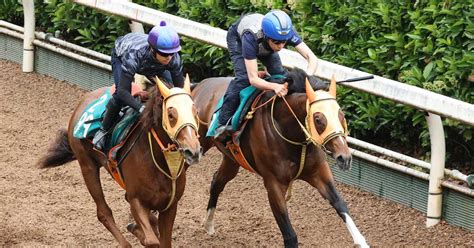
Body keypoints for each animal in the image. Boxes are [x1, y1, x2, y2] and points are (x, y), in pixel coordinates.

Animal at [36, 76, 200, 247]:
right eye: (171, 115)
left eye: (195, 112)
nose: (193, 150)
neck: (162, 165)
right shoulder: (137, 200)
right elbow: (151, 240)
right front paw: (139, 232)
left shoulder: (170, 206)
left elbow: (163, 239)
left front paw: (137, 228)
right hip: (87, 166)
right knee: (103, 212)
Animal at [191, 68, 368, 248]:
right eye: (318, 119)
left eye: (341, 115)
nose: (344, 158)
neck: (290, 133)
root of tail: (201, 84)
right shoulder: (274, 184)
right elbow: (290, 235)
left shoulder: (319, 173)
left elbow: (340, 204)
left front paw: (361, 241)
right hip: (197, 145)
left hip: (232, 160)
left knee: (217, 182)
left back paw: (208, 224)